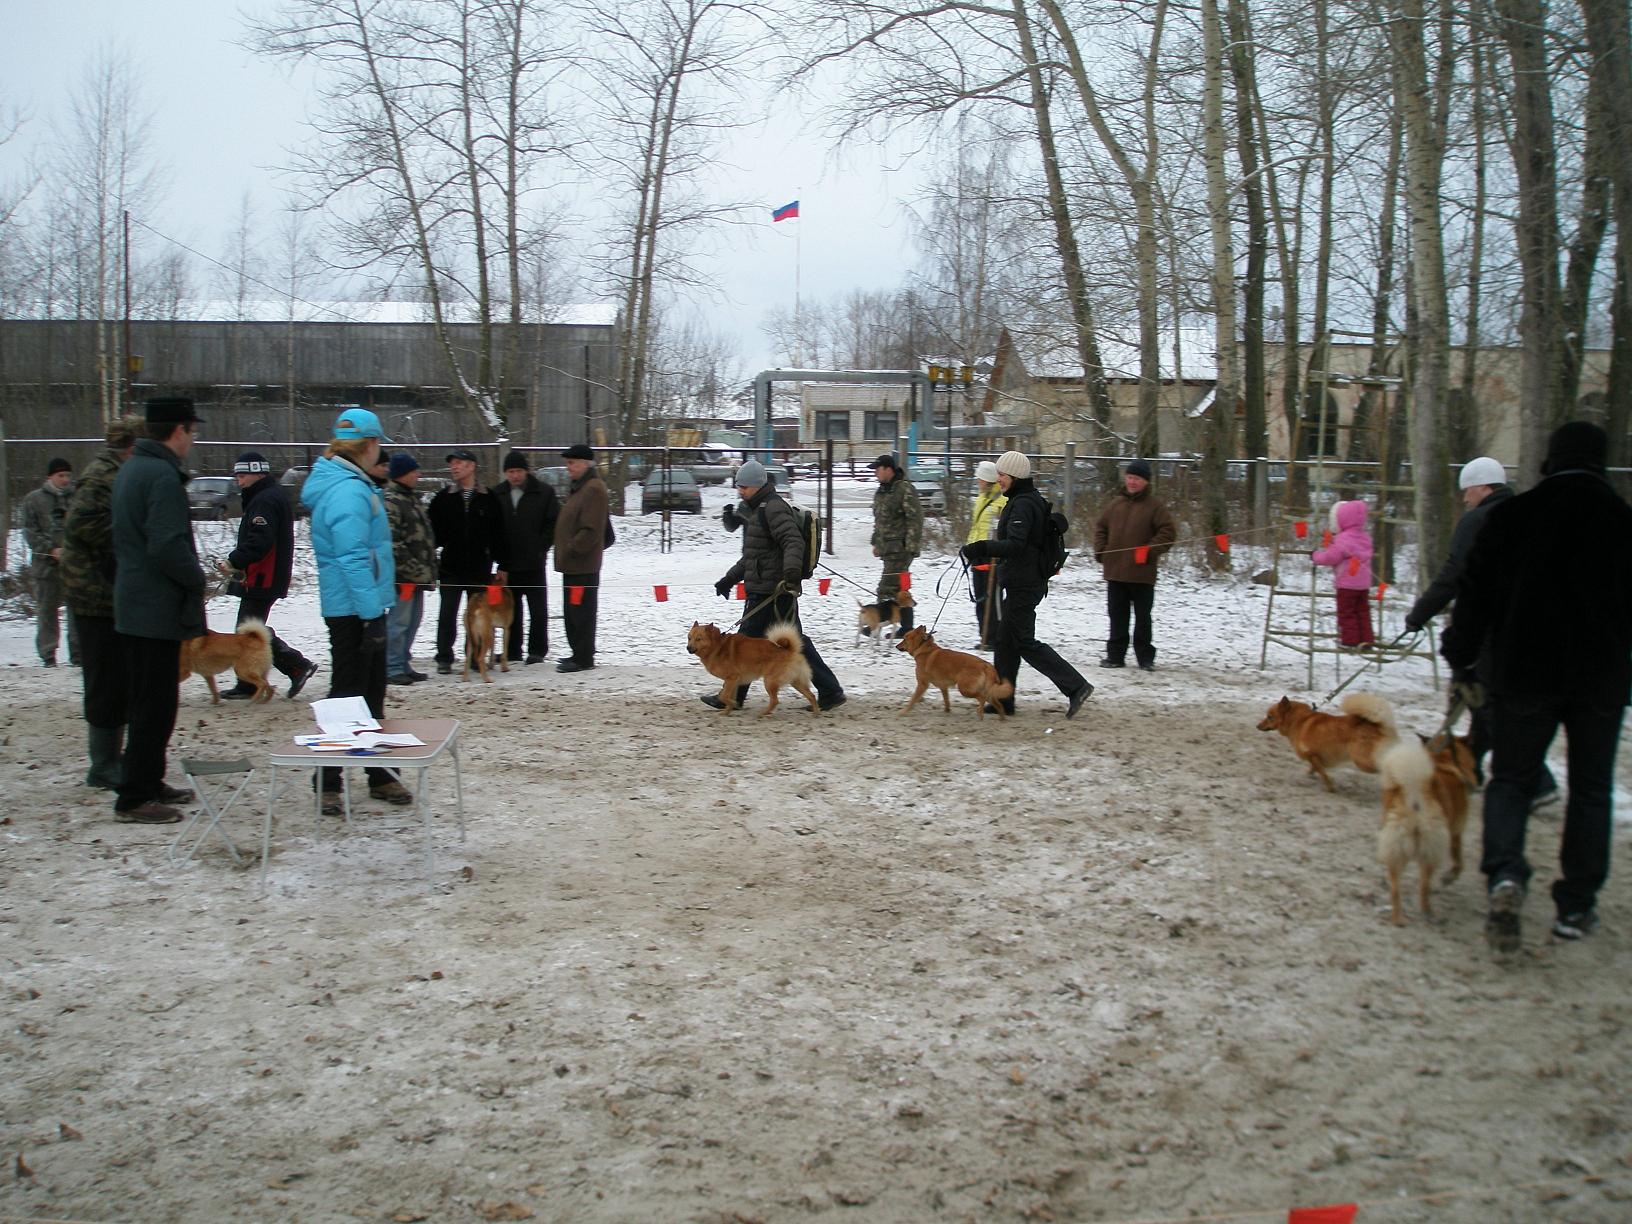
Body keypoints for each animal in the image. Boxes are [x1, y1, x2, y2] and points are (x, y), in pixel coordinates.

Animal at [686, 621, 818, 716]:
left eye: (698, 638)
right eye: (689, 638)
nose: (688, 648)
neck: (717, 646)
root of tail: (789, 650)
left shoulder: (731, 678)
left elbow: (724, 696)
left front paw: (732, 704)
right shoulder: (733, 682)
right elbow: (728, 696)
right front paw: (727, 711)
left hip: (769, 681)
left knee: (775, 700)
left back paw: (764, 713)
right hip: (796, 681)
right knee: (811, 695)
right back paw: (816, 712)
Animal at [1255, 692, 1397, 791]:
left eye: (1270, 717)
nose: (1257, 726)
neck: (1299, 721)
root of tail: (1381, 725)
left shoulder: (1312, 755)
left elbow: (1322, 773)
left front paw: (1330, 788)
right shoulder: (1315, 757)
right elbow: (1315, 769)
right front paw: (1308, 775)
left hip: (1362, 761)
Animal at [1376, 735, 1478, 924]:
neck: (1443, 760)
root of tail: (1415, 792)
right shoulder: (1456, 833)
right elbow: (1459, 861)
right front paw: (1449, 877)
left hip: (1395, 849)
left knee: (1395, 888)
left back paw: (1397, 919)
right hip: (1430, 852)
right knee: (1424, 886)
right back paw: (1428, 912)